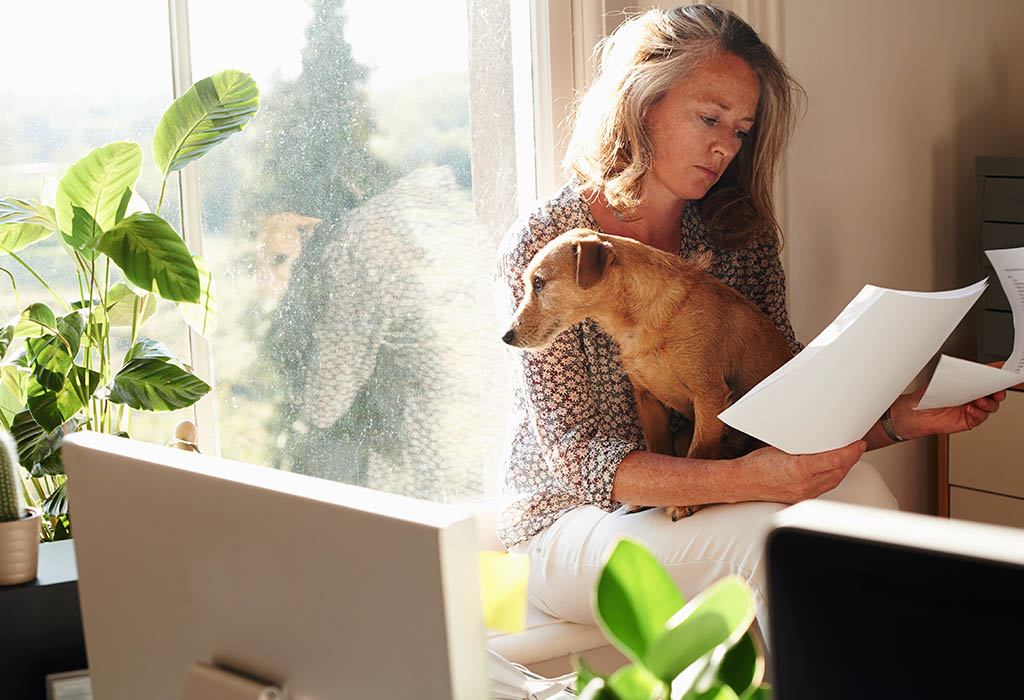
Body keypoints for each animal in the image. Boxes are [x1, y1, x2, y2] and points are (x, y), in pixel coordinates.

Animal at [503, 229, 790, 487]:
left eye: (539, 283)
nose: (506, 336)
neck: (635, 322)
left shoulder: (710, 395)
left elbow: (697, 454)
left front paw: (682, 506)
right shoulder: (647, 399)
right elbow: (662, 452)